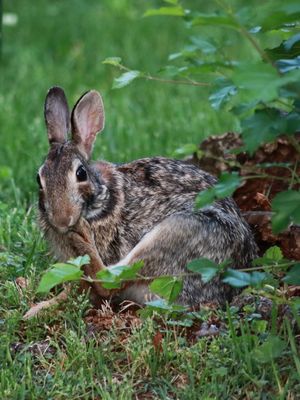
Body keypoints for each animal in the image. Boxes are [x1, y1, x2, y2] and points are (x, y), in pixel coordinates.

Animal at [28, 86, 258, 316]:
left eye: (81, 173)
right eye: (39, 178)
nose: (62, 220)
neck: (100, 199)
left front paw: (42, 308)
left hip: (181, 230)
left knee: (109, 280)